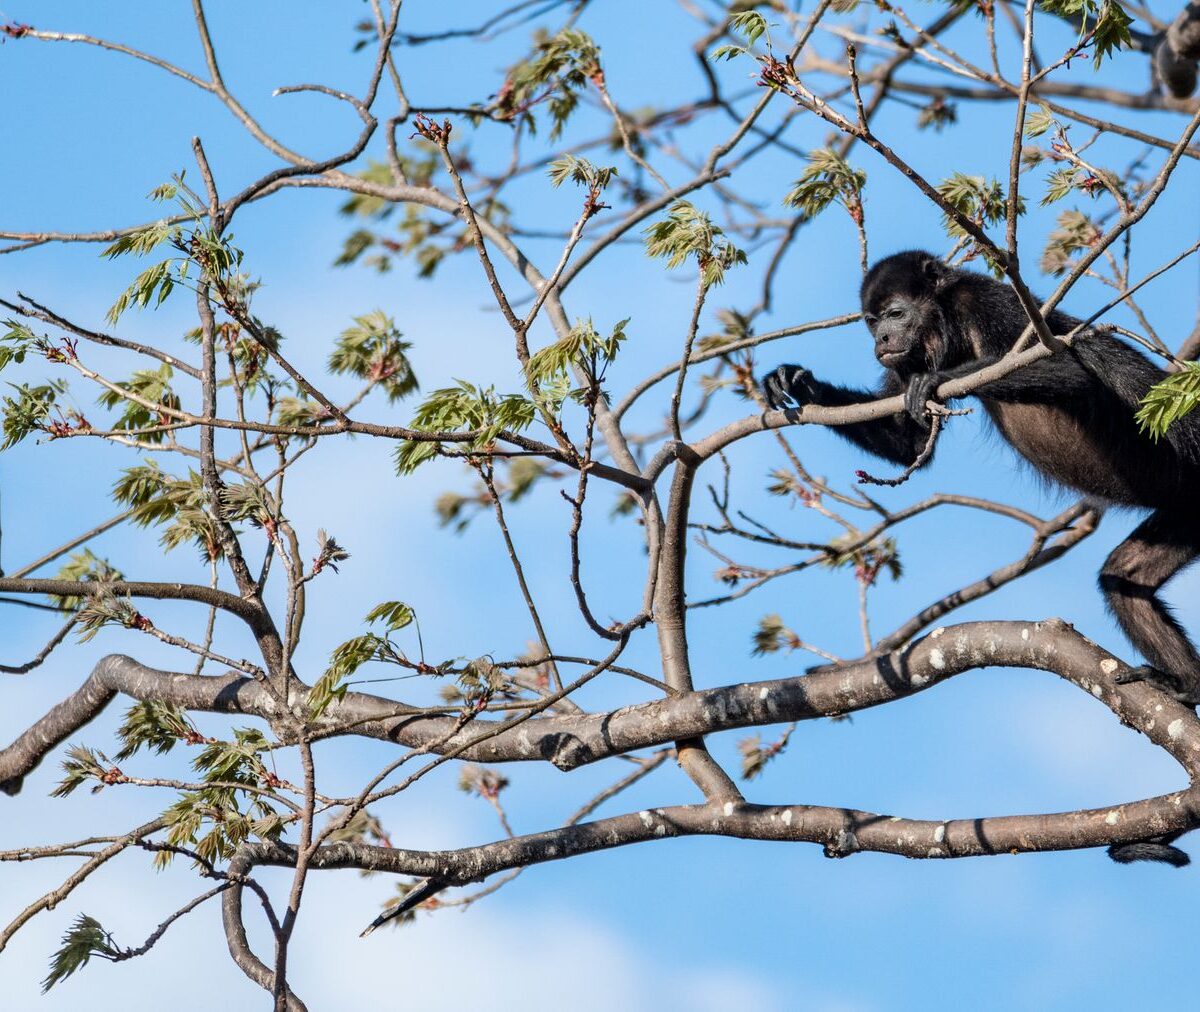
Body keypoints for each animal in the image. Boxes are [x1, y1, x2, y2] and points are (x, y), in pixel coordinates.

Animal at [763, 250, 1200, 866]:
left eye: (894, 314)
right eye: (871, 322)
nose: (883, 340)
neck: (946, 323)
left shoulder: (992, 304)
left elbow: (1068, 368)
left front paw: (942, 381)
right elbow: (907, 440)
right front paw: (801, 383)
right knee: (1124, 579)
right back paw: (1188, 688)